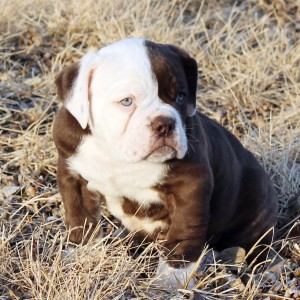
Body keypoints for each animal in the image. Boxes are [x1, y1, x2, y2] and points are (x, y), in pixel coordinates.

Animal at [52, 38, 278, 288]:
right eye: (126, 101)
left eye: (180, 97)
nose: (165, 123)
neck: (119, 157)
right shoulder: (74, 176)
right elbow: (81, 218)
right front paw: (82, 255)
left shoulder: (190, 188)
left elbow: (183, 234)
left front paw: (171, 279)